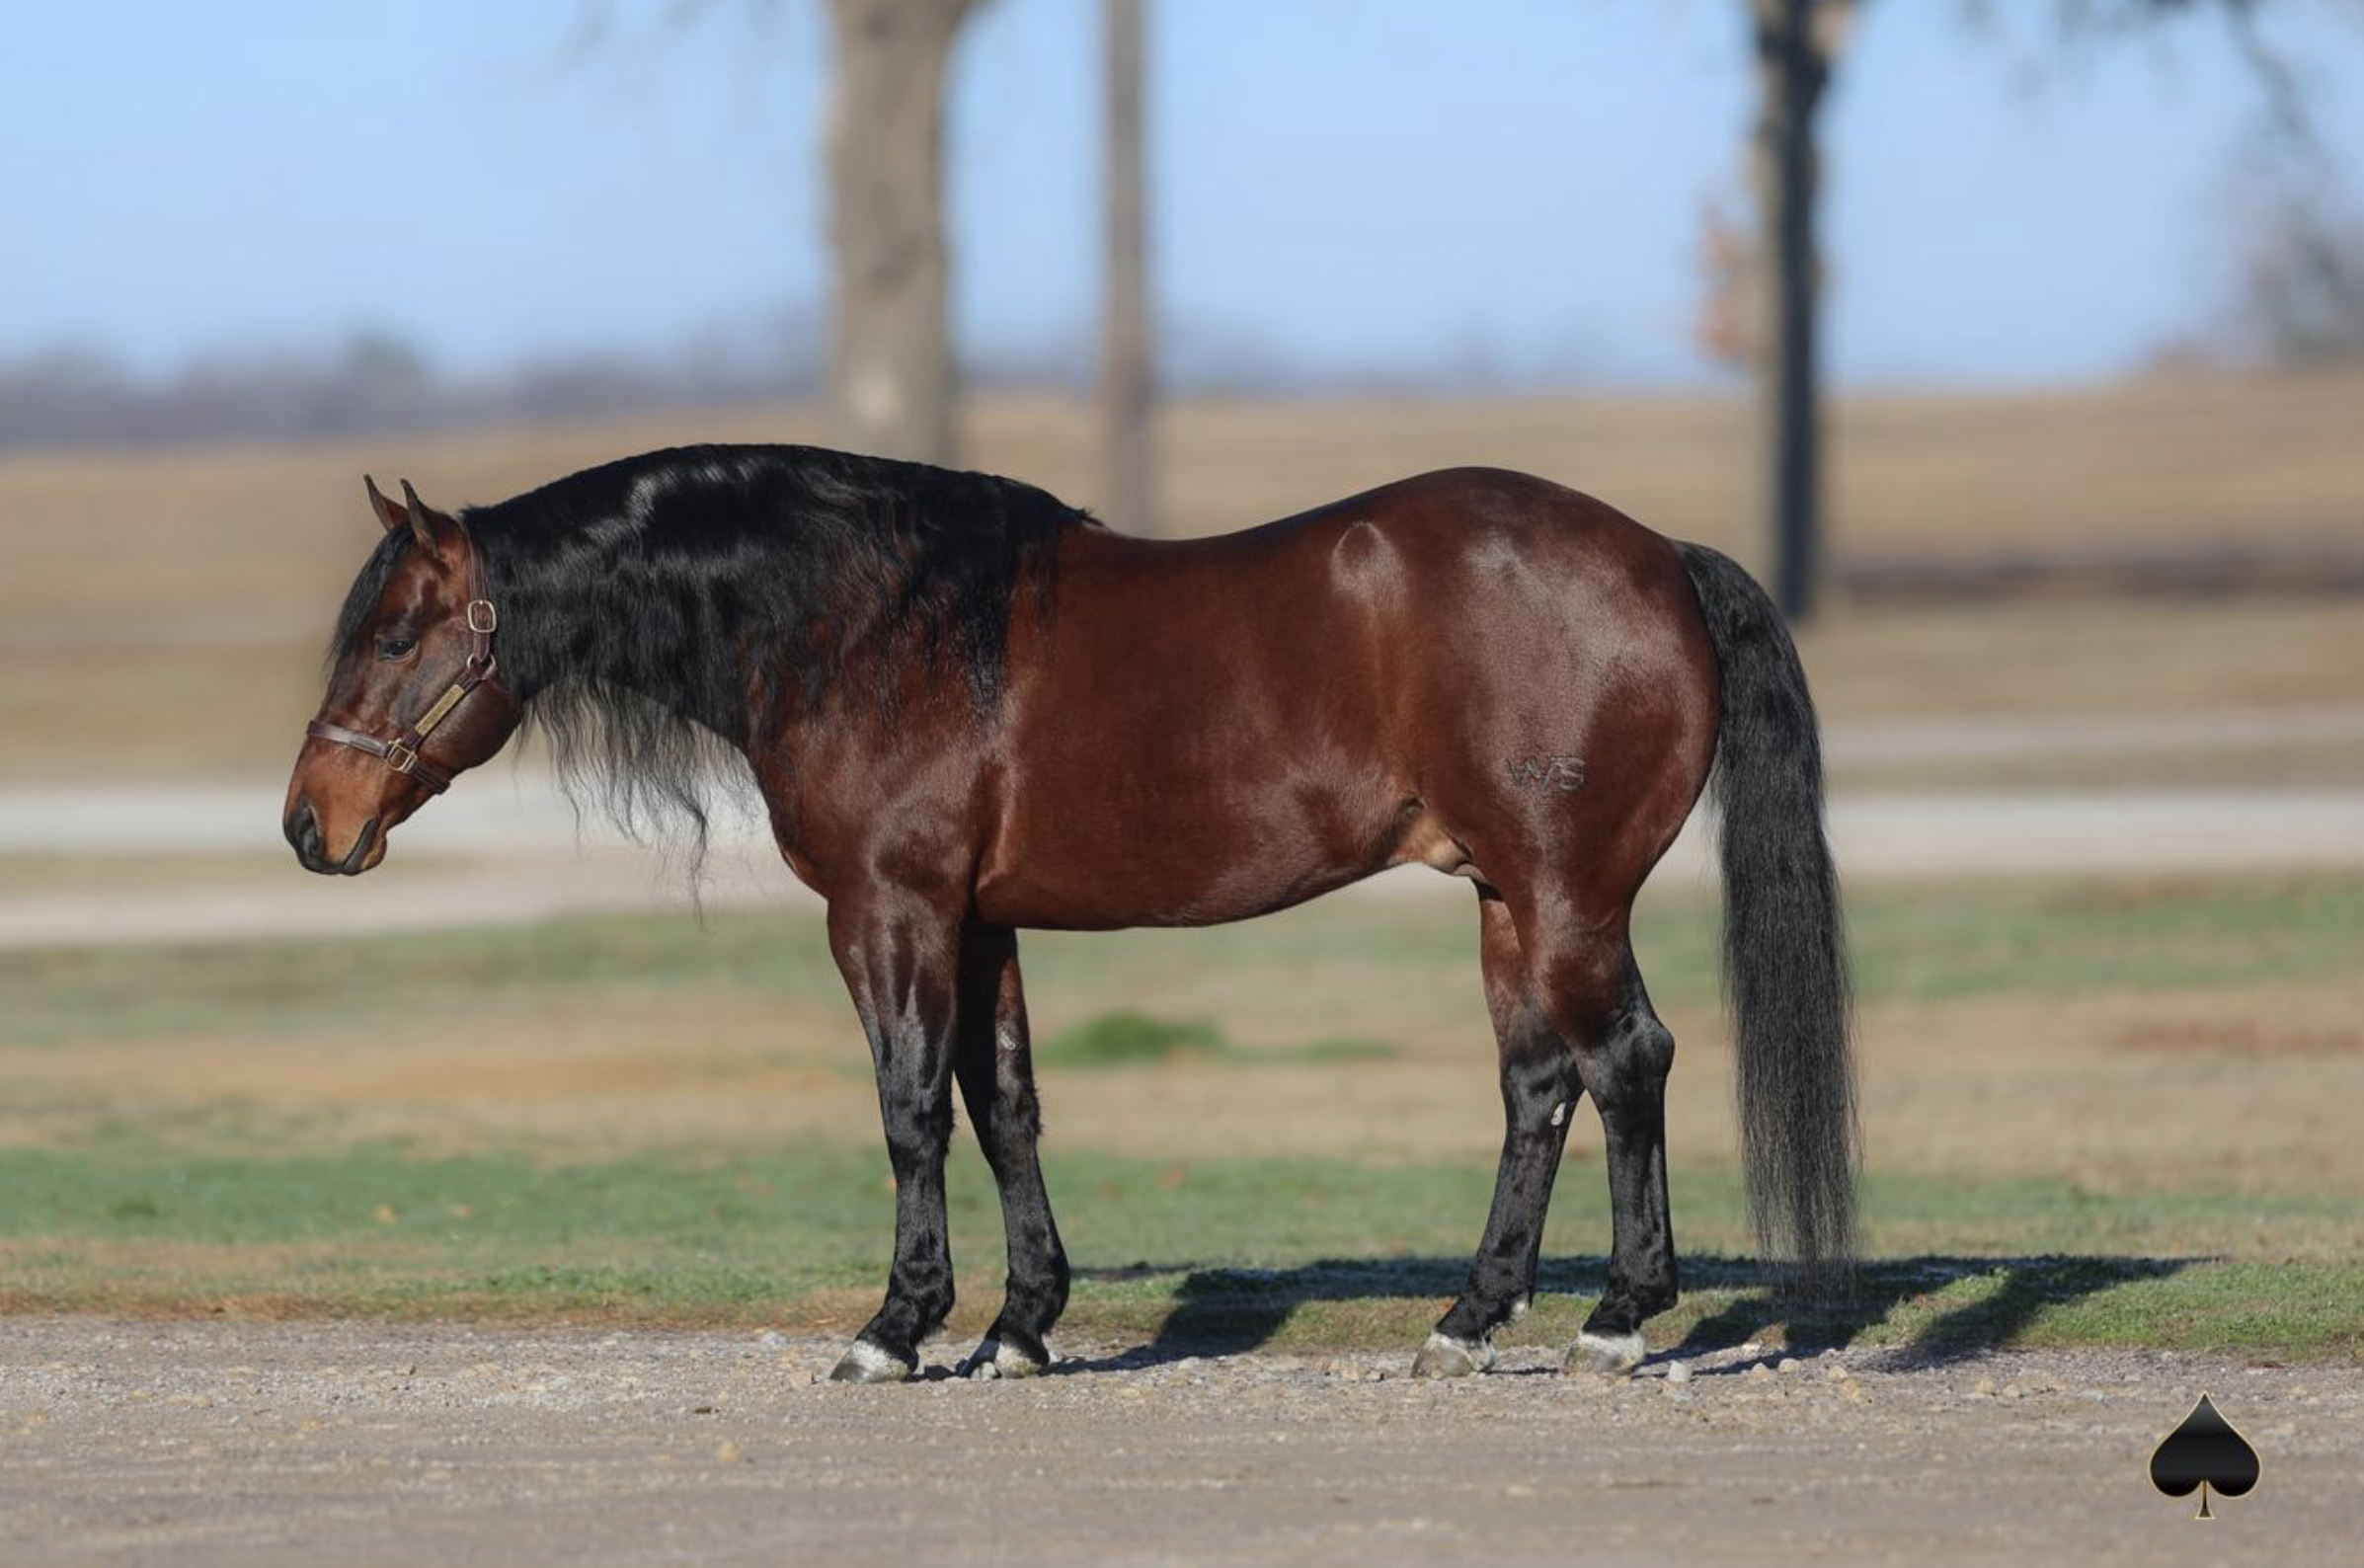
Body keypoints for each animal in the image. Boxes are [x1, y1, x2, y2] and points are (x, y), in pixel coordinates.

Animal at [284, 447, 1855, 1383]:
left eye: (398, 631)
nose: (311, 825)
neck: (870, 626)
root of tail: (1659, 557)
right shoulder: (980, 924)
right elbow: (1005, 1106)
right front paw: (1020, 1325)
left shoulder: (892, 912)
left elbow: (912, 1109)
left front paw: (897, 1329)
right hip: (1502, 898)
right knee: (1539, 1083)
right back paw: (1470, 1321)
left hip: (1568, 891)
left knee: (1626, 1063)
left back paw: (1616, 1320)